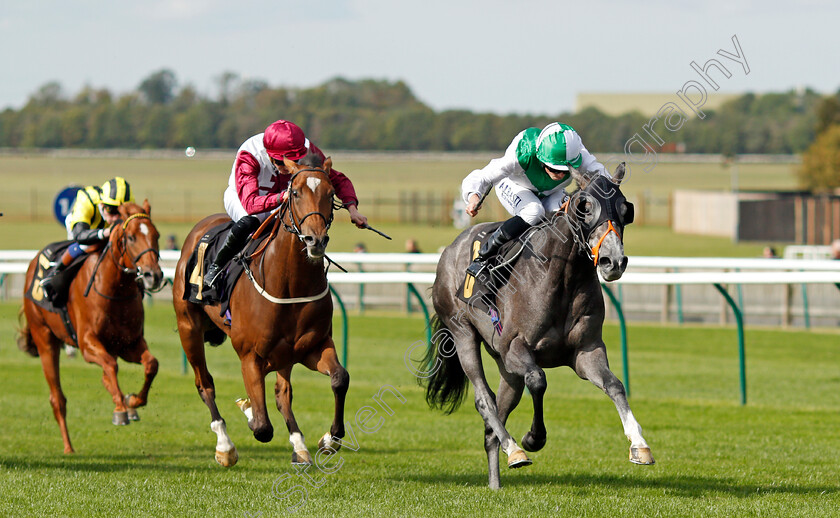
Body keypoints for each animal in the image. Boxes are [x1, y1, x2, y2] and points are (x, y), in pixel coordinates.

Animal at [17, 202, 164, 456]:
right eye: (132, 237)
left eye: (156, 235)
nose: (153, 275)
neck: (114, 290)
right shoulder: (87, 344)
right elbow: (111, 366)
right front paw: (120, 410)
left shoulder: (130, 344)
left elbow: (150, 364)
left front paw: (132, 401)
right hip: (45, 338)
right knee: (58, 398)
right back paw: (68, 447)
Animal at [174, 157, 348, 468]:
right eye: (295, 193)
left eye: (331, 194)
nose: (315, 240)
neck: (290, 284)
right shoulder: (250, 356)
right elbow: (262, 427)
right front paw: (248, 411)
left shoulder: (313, 346)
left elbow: (340, 379)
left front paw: (329, 439)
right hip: (188, 328)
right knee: (204, 383)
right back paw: (225, 446)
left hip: (286, 354)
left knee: (282, 394)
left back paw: (299, 446)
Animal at [424, 165, 652, 490]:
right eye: (584, 207)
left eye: (625, 209)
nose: (614, 261)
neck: (562, 276)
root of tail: (450, 248)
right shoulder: (515, 348)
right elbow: (538, 380)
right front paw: (533, 438)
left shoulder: (586, 352)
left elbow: (615, 385)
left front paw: (639, 445)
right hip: (463, 333)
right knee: (485, 400)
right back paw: (514, 450)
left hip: (505, 367)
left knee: (495, 420)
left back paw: (496, 482)